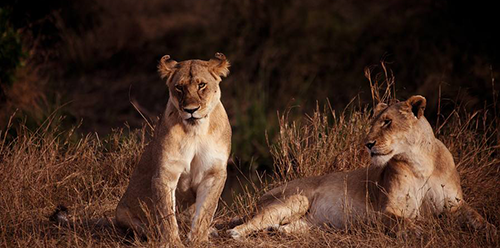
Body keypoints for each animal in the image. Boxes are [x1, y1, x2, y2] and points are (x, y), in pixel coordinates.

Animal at [114, 52, 231, 246]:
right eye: (179, 87)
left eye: (202, 85)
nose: (191, 110)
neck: (195, 131)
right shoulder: (165, 173)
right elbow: (166, 213)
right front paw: (172, 242)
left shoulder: (213, 173)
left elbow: (205, 211)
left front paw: (198, 240)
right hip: (122, 213)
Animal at [228, 94, 496, 238]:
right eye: (374, 122)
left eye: (387, 122)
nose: (367, 144)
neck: (421, 164)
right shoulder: (385, 210)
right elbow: (402, 221)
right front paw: (421, 230)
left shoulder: (454, 205)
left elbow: (477, 217)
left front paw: (492, 231)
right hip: (296, 198)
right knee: (252, 222)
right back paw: (237, 233)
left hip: (309, 222)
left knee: (286, 225)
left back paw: (275, 231)